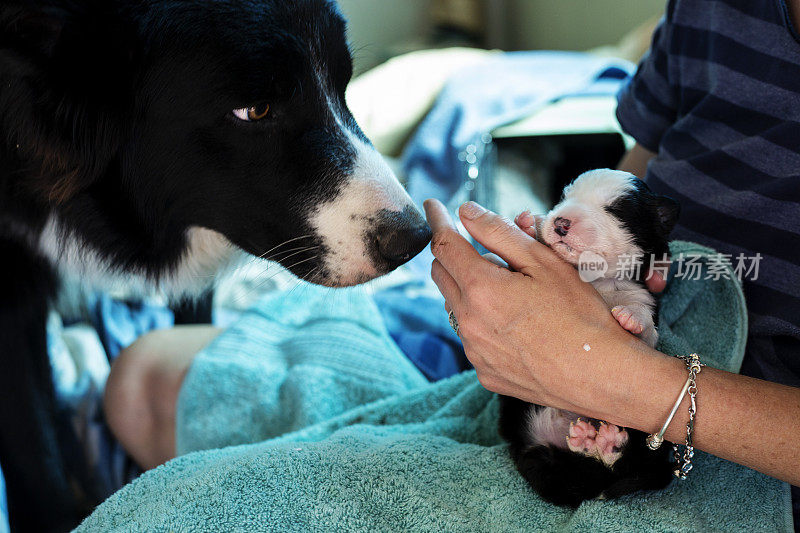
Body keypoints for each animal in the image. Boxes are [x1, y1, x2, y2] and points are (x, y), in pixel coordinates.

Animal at [500, 168, 680, 504]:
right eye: (564, 196)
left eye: (616, 210)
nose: (560, 222)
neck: (595, 279)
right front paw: (527, 223)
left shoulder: (644, 297)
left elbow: (647, 326)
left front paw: (631, 318)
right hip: (536, 456)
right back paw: (589, 440)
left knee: (629, 464)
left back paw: (608, 444)